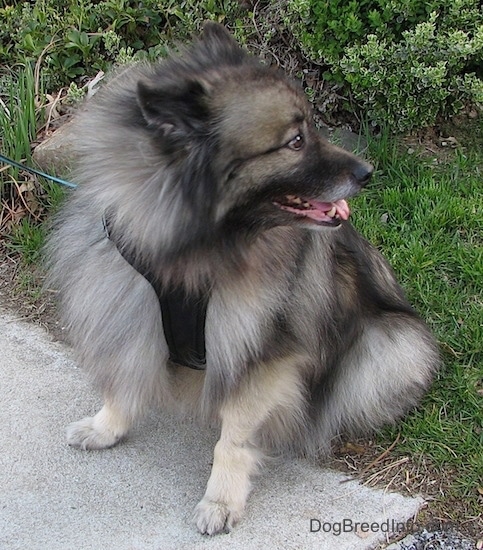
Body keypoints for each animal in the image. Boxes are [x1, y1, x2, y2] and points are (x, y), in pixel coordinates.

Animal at [46, 23, 442, 536]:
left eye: (311, 129)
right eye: (295, 141)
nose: (366, 172)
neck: (200, 247)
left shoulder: (258, 349)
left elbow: (231, 439)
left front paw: (220, 501)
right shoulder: (130, 304)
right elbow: (124, 380)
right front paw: (106, 426)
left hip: (391, 346)